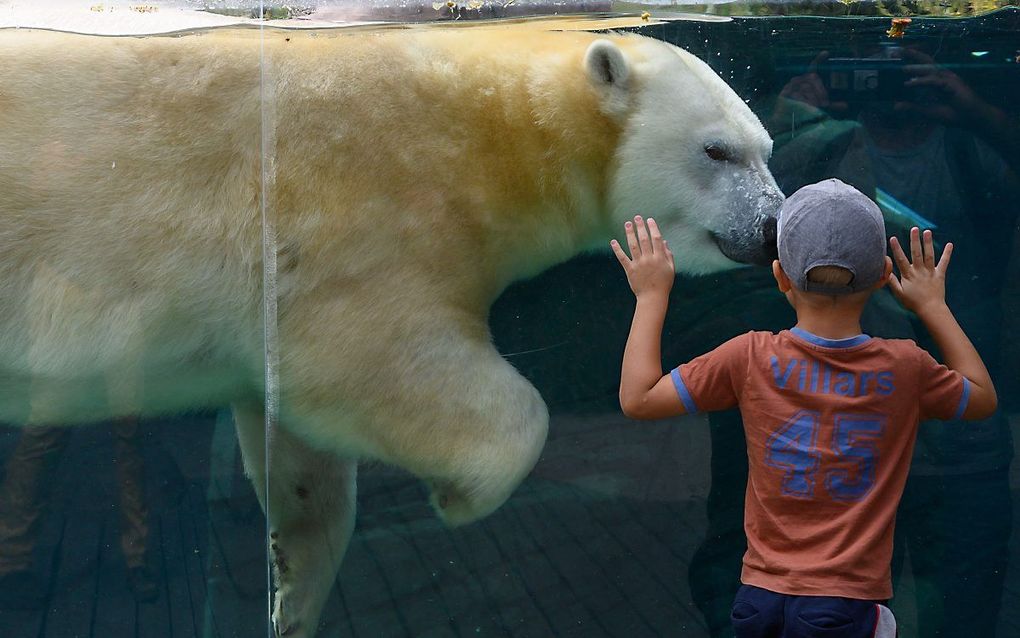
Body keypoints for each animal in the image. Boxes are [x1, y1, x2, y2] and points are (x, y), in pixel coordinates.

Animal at [0, 24, 779, 632]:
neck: (492, 126)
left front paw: (292, 590)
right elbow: (366, 358)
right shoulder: (365, 213)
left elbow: (297, 450)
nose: (773, 226)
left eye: (767, 148)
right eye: (717, 150)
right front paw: (456, 496)